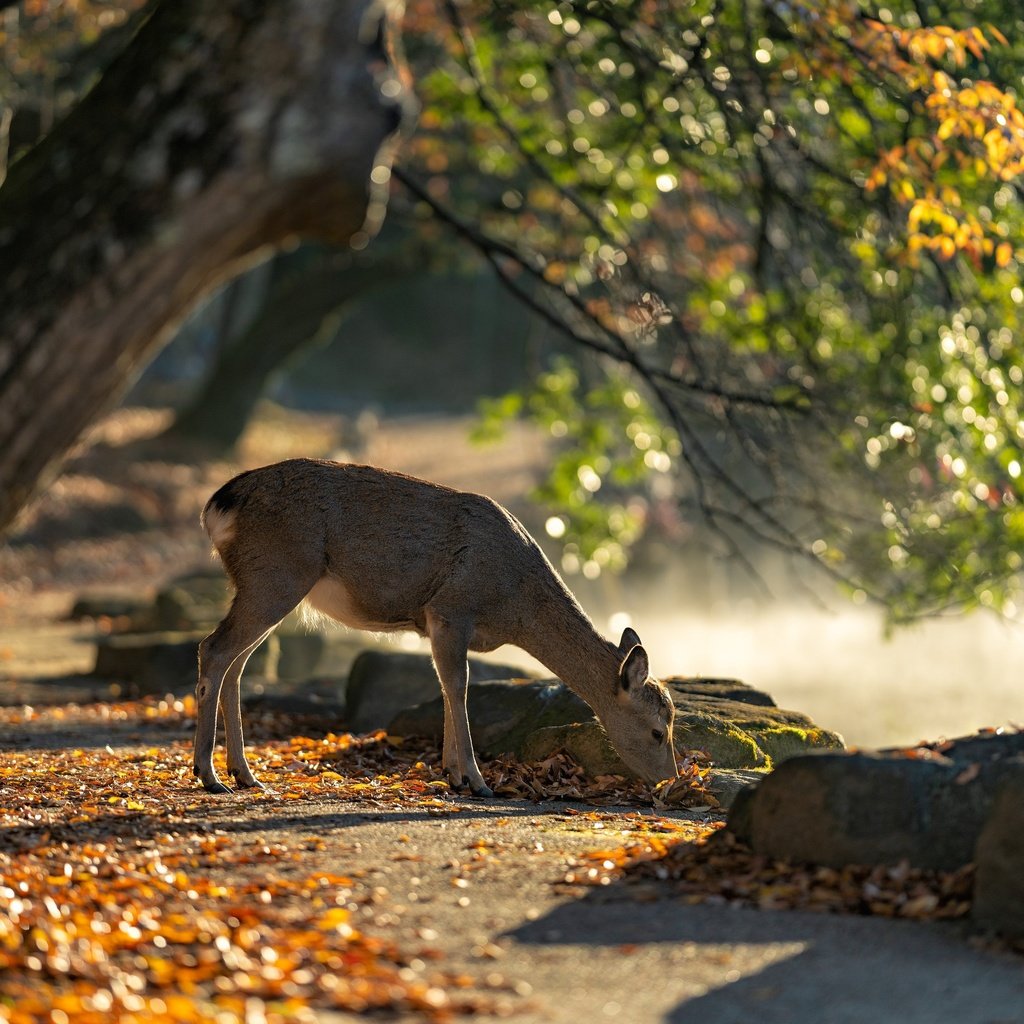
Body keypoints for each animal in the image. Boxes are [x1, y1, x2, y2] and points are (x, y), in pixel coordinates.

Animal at [193, 458, 679, 798]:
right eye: (659, 731)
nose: (671, 780)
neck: (513, 606)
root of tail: (217, 505)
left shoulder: (433, 623)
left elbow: (445, 686)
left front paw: (453, 774)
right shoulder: (451, 608)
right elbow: (459, 686)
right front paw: (478, 782)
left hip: (264, 583)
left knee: (236, 663)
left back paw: (245, 774)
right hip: (277, 575)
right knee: (213, 649)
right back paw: (210, 775)